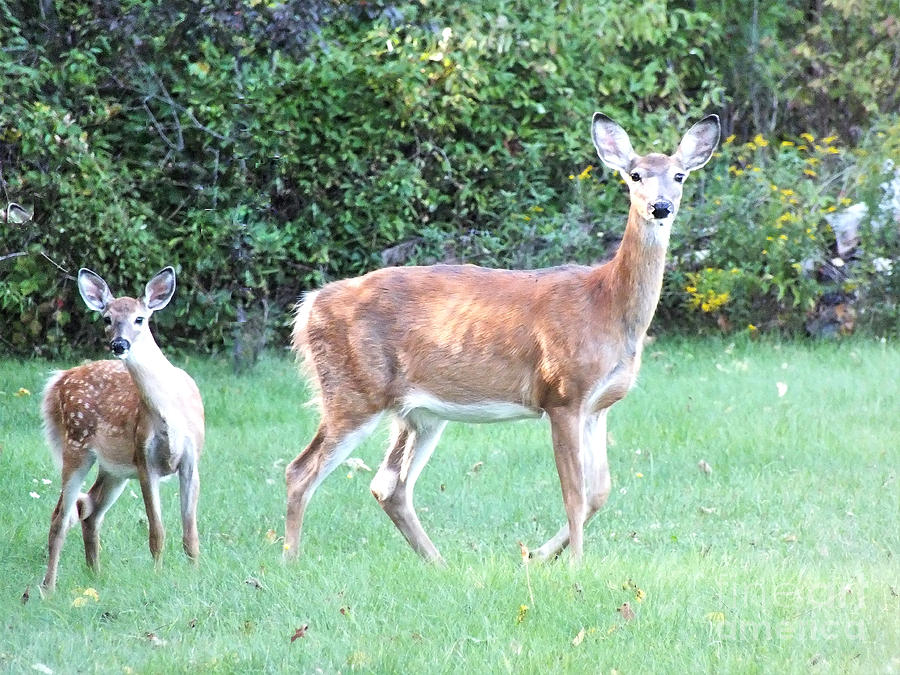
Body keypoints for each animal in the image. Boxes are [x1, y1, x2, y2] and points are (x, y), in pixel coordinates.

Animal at [41, 266, 202, 588]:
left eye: (140, 319)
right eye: (106, 319)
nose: (119, 344)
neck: (171, 414)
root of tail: (59, 380)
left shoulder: (192, 458)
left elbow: (190, 534)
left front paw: (194, 574)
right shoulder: (144, 459)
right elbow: (156, 532)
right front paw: (158, 576)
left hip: (113, 468)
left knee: (89, 509)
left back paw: (95, 574)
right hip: (76, 446)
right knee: (61, 516)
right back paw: (48, 588)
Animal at [284, 112, 720, 564]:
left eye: (680, 175)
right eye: (635, 175)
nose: (660, 206)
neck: (606, 304)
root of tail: (309, 306)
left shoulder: (598, 407)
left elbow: (599, 492)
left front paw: (538, 555)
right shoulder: (563, 394)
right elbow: (575, 494)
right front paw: (575, 565)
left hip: (418, 412)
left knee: (388, 485)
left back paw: (440, 564)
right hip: (353, 391)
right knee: (300, 470)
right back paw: (290, 559)